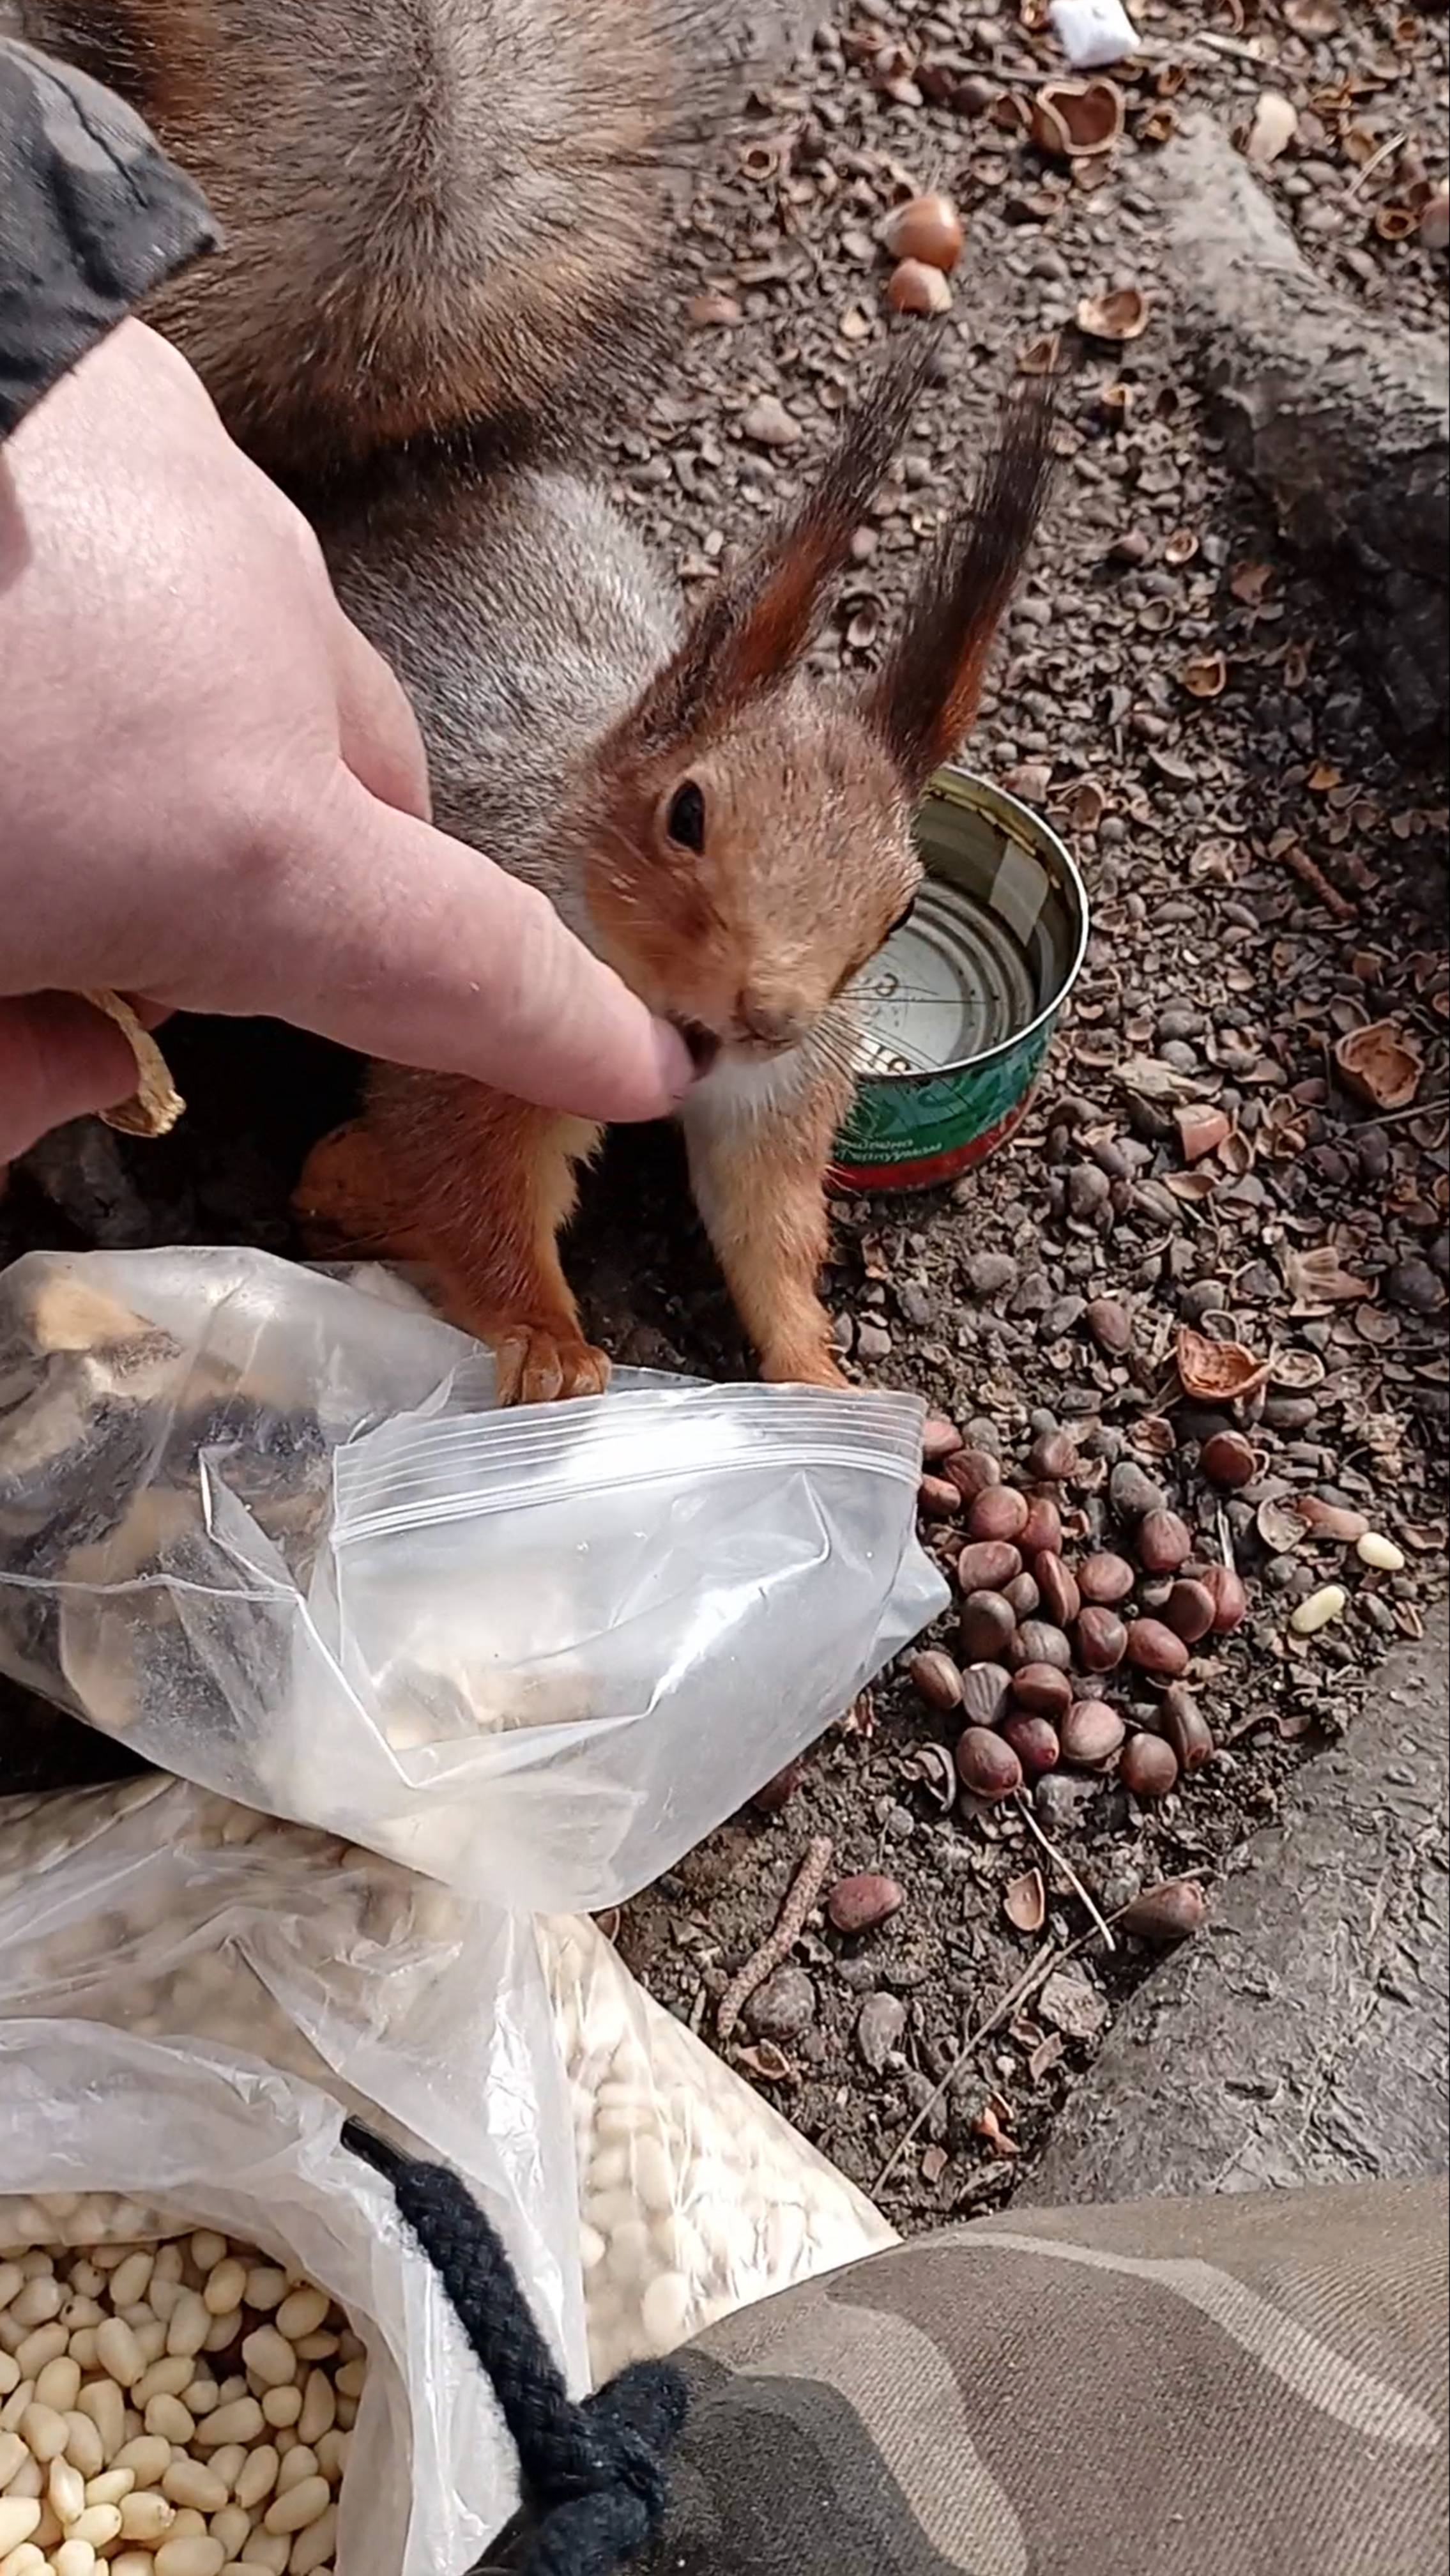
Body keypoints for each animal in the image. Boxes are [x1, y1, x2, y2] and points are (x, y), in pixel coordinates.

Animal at [296, 350, 1055, 1401]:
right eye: (686, 815)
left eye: (904, 907)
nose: (771, 1017)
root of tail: (403, 478)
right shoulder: (479, 1037)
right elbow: (476, 1186)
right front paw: (548, 1342)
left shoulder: (779, 1097)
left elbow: (766, 1221)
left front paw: (818, 1376)